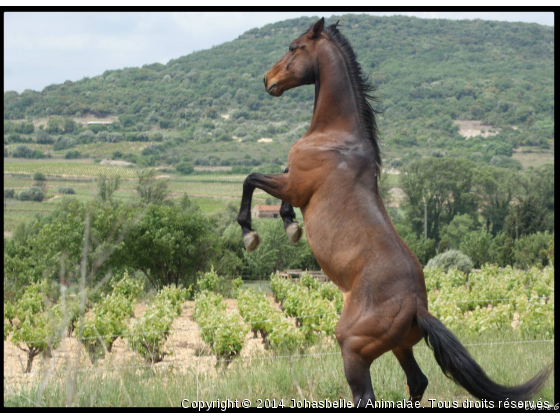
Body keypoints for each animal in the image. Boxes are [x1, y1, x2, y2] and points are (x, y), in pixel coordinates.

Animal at [237, 18, 552, 406]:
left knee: (366, 396)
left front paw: (252, 234)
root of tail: (417, 307)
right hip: (400, 346)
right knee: (417, 381)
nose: (268, 80)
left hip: (353, 347)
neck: (335, 136)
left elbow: (251, 179)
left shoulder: (295, 185)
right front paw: (290, 226)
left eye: (294, 47)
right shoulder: (292, 183)